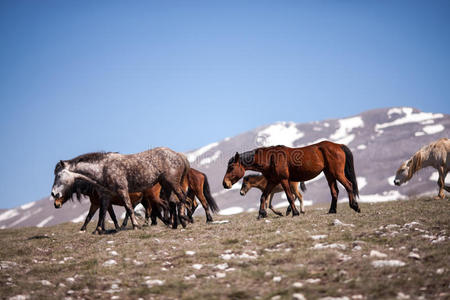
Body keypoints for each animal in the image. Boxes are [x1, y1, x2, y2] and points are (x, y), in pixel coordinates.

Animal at [50, 146, 190, 233]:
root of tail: (178, 155)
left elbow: (128, 208)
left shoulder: (122, 190)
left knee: (181, 199)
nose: (53, 193)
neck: (103, 168)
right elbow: (102, 213)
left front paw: (135, 226)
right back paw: (175, 224)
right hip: (166, 185)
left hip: (171, 184)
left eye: (59, 175)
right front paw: (98, 230)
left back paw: (184, 220)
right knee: (173, 202)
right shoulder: (106, 196)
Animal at [223, 141, 360, 218]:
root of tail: (338, 146)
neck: (271, 158)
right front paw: (262, 213)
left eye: (231, 167)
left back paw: (354, 206)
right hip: (329, 174)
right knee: (334, 191)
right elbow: (263, 197)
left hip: (337, 173)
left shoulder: (283, 180)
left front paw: (295, 212)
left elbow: (289, 197)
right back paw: (332, 210)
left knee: (348, 185)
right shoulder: (272, 181)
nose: (225, 183)